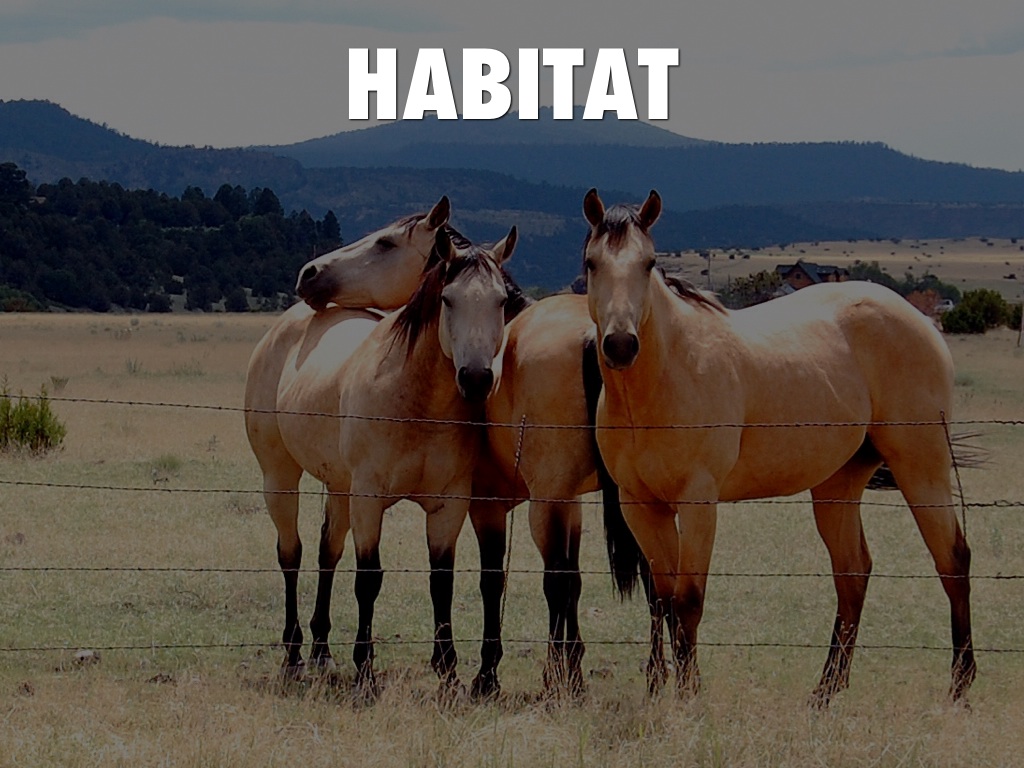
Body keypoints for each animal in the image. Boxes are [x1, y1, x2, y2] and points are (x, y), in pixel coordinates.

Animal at [245, 221, 517, 692]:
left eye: (500, 301)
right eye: (448, 299)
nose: (477, 378)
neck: (416, 399)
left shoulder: (449, 504)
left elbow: (441, 581)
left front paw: (448, 669)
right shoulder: (369, 499)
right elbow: (368, 579)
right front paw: (365, 668)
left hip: (339, 487)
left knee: (326, 554)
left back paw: (321, 651)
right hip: (279, 477)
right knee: (290, 554)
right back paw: (294, 654)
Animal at [581, 187, 975, 705]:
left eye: (648, 263)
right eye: (591, 263)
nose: (621, 344)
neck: (664, 376)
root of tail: (923, 322)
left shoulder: (698, 502)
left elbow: (688, 600)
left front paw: (689, 693)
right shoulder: (640, 505)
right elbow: (662, 598)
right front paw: (662, 686)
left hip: (921, 467)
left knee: (953, 560)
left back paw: (959, 685)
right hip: (838, 485)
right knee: (853, 574)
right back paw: (826, 690)